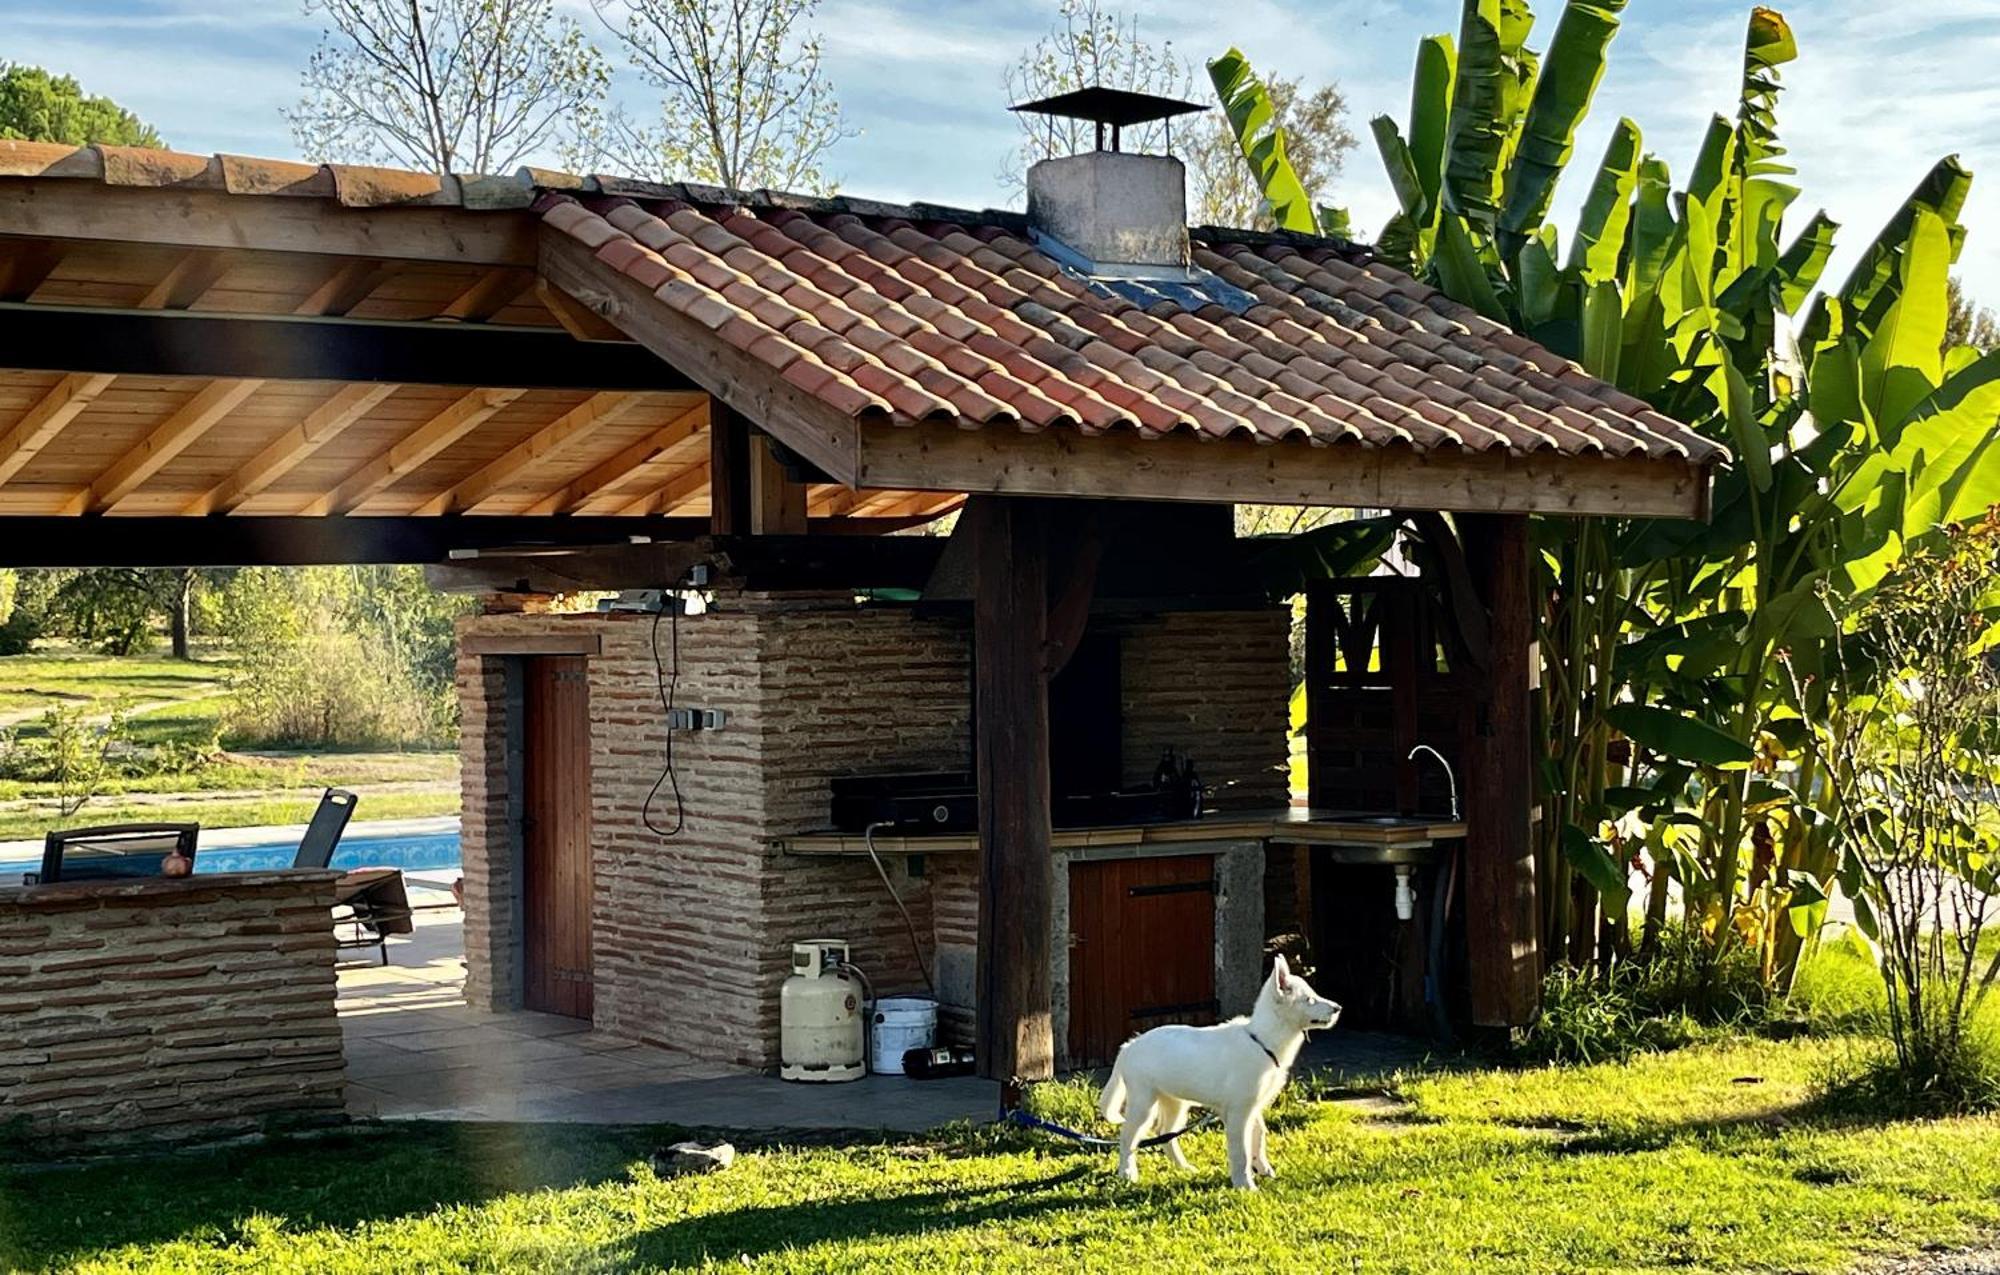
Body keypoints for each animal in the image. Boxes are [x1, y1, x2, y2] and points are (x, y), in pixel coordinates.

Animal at [1096, 955, 1344, 1191]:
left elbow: (1260, 1135)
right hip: (1143, 1103)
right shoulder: (1238, 1112)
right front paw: (1245, 1184)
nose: (1338, 1008)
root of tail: (1129, 1046)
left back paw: (1183, 1167)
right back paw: (1127, 1173)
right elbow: (1240, 1152)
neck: (1262, 1041)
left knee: (1165, 1134)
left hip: (1176, 1102)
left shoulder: (1253, 1107)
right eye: (1309, 1000)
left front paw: (1262, 1167)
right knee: (1128, 1137)